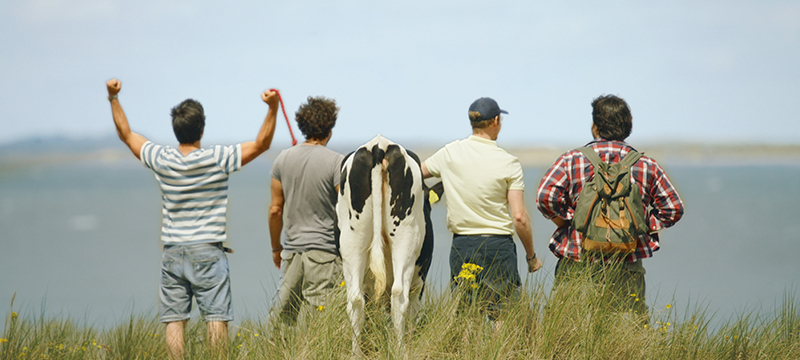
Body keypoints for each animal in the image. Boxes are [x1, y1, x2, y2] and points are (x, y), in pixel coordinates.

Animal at [336, 134, 434, 352]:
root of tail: (379, 145)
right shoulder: (419, 282)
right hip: (406, 239)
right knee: (399, 295)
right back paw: (400, 351)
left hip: (352, 243)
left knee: (355, 300)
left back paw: (356, 353)